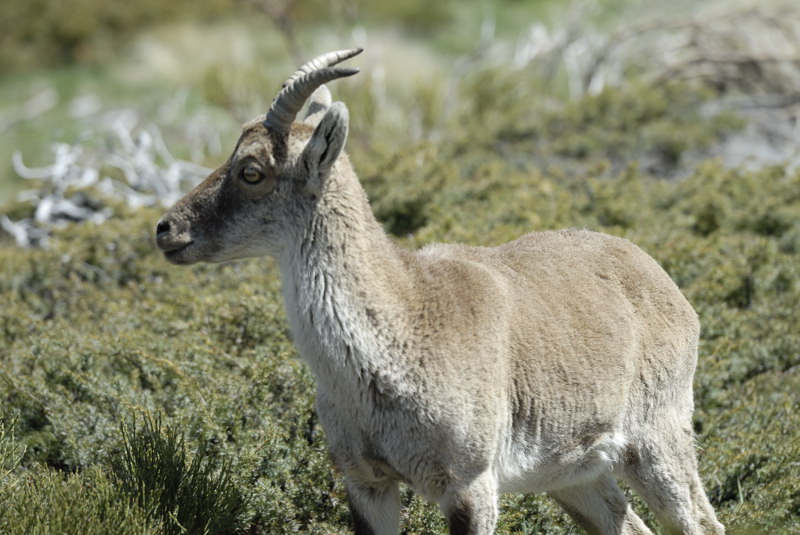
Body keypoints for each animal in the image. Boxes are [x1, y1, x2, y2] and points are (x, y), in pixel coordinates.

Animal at [155, 48, 724, 532]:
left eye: (252, 170)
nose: (166, 229)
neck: (403, 325)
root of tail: (664, 283)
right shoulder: (366, 481)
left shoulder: (471, 484)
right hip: (574, 473)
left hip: (658, 438)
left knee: (701, 522)